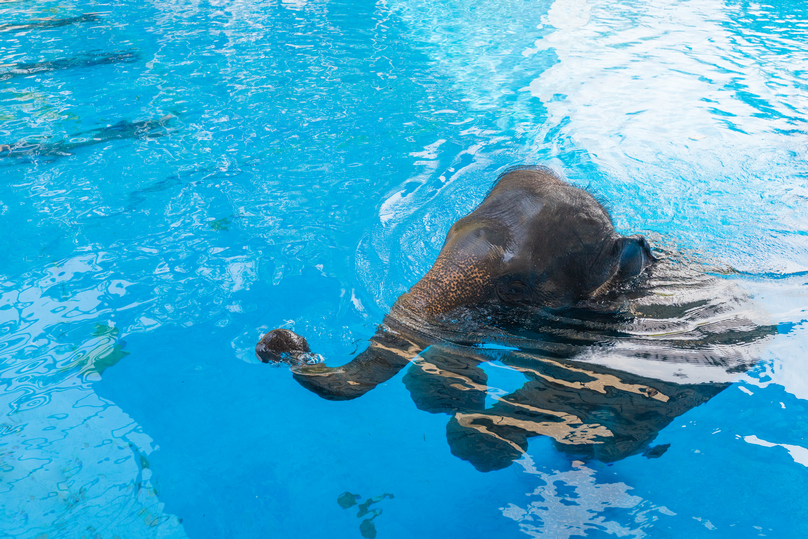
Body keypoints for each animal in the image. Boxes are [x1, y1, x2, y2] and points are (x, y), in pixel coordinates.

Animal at [256, 167, 772, 470]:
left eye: (517, 286)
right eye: (447, 234)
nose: (280, 344)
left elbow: (563, 390)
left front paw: (481, 440)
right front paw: (442, 395)